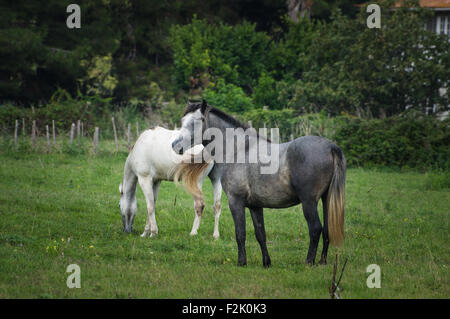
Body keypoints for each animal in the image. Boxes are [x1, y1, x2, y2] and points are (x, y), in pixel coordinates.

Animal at [172, 102, 344, 268]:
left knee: (315, 228)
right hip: (326, 199)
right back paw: (322, 261)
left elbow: (240, 233)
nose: (175, 145)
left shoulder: (236, 202)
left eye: (197, 121)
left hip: (309, 202)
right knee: (327, 229)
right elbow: (260, 234)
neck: (238, 150)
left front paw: (241, 262)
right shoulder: (255, 206)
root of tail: (331, 147)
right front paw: (266, 262)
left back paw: (309, 262)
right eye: (182, 120)